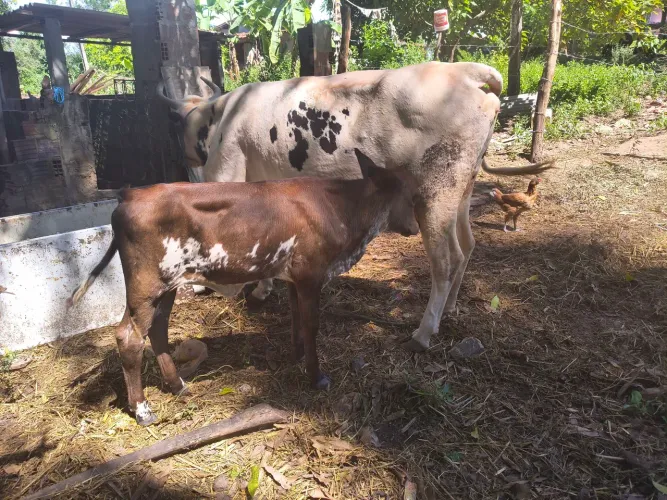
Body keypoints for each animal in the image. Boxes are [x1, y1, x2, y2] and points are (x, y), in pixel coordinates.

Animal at [67, 150, 419, 426]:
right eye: (409, 193)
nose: (417, 226)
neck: (342, 208)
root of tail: (130, 195)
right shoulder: (311, 274)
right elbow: (311, 324)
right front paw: (316, 376)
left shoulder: (294, 277)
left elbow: (296, 320)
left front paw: (297, 357)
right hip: (146, 285)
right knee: (130, 338)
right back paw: (142, 409)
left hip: (167, 285)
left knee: (158, 330)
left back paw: (177, 384)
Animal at [158, 62, 555, 352]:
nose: (183, 156)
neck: (220, 117)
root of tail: (462, 71)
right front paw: (263, 288)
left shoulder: (228, 168)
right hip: (461, 189)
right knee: (468, 246)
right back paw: (451, 309)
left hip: (435, 193)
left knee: (446, 261)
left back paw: (425, 331)